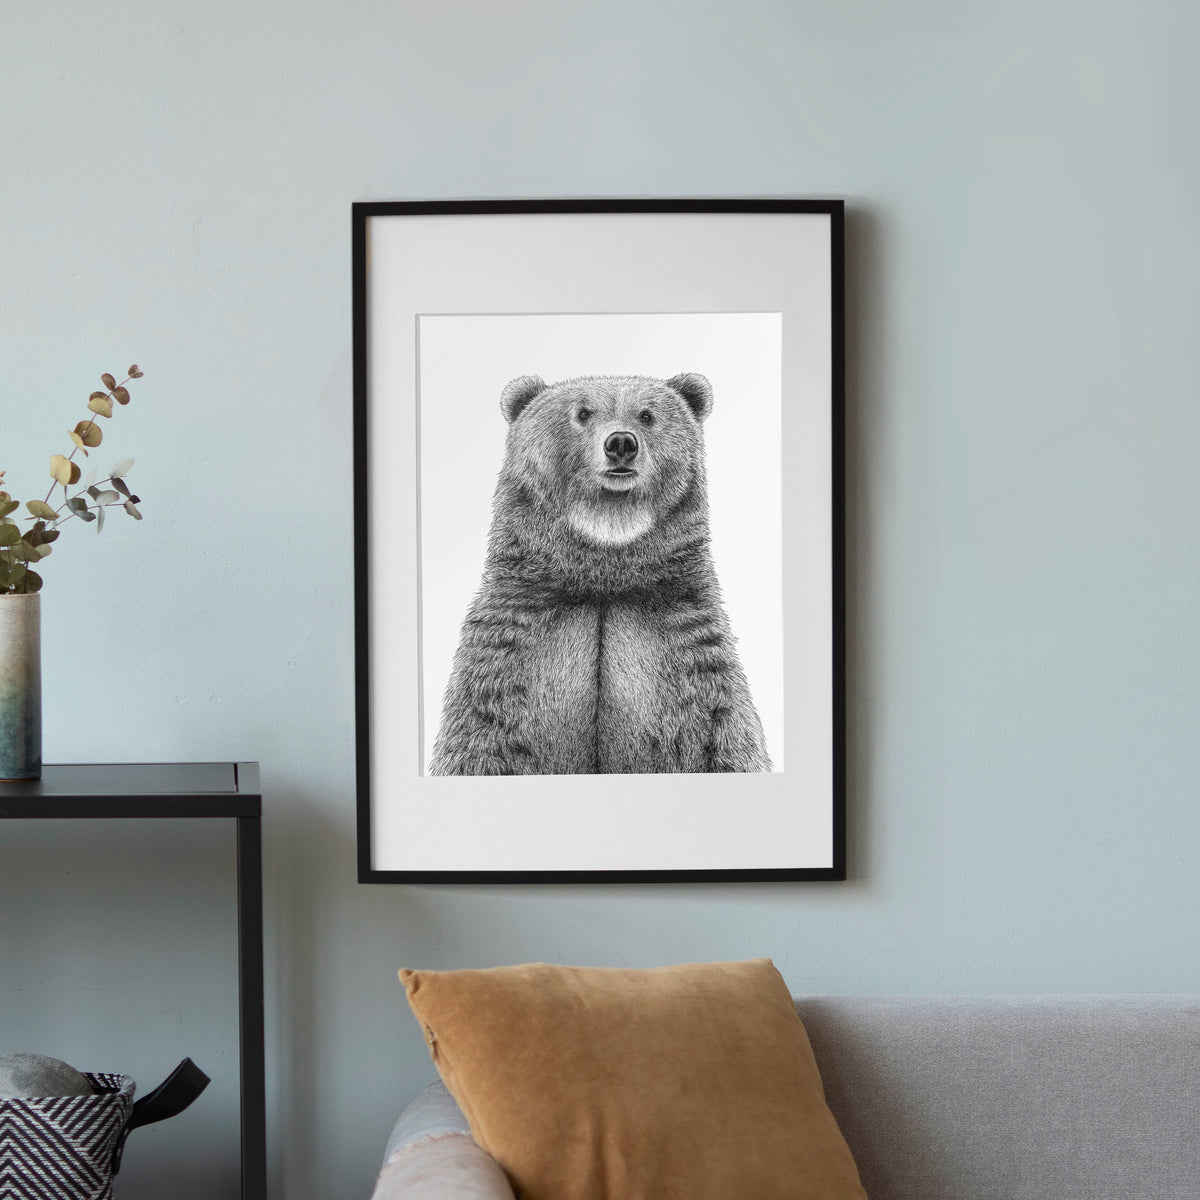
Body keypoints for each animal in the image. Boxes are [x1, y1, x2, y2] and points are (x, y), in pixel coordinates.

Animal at [428, 372, 771, 776]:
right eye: (582, 412)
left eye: (647, 415)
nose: (621, 443)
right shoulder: (507, 653)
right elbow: (478, 743)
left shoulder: (690, 654)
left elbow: (722, 740)